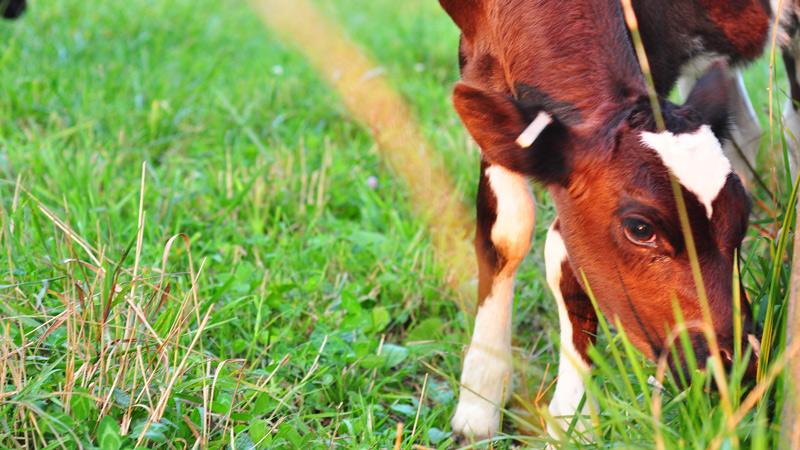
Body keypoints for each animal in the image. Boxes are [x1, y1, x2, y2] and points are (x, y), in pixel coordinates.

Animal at [438, 0, 766, 442]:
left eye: (742, 215)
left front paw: (571, 423)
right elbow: (507, 232)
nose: (735, 365)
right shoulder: (479, 55)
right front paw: (480, 402)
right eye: (640, 229)